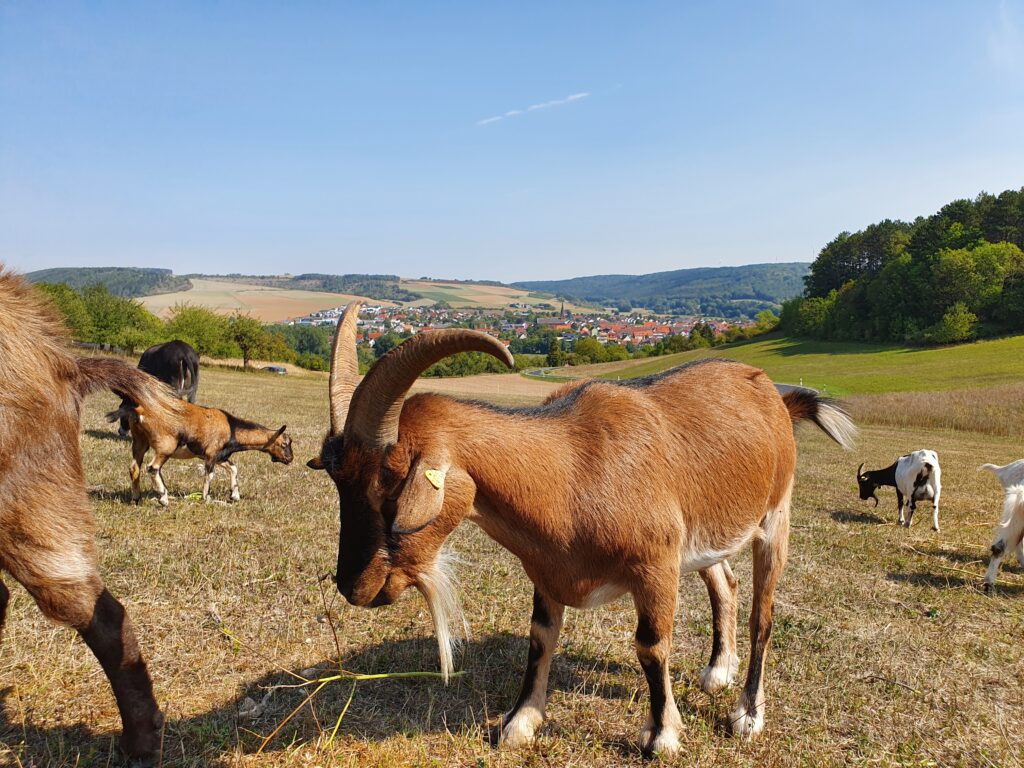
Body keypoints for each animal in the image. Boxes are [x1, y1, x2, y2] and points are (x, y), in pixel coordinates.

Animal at [112, 399, 296, 507]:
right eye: (284, 444)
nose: (290, 458)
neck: (231, 428)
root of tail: (140, 412)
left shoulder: (220, 456)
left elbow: (233, 468)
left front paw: (234, 496)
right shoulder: (211, 455)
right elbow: (210, 475)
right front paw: (206, 498)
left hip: (140, 441)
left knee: (134, 468)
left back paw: (137, 498)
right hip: (166, 445)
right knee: (152, 467)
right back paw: (163, 498)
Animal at [307, 303, 851, 757]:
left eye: (391, 483)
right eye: (336, 480)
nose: (353, 587)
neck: (572, 471)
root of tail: (773, 394)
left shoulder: (655, 566)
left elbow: (651, 645)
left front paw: (662, 735)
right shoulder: (549, 571)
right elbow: (540, 637)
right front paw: (520, 722)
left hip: (774, 517)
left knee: (764, 614)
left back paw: (747, 713)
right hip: (705, 535)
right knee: (725, 584)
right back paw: (718, 670)